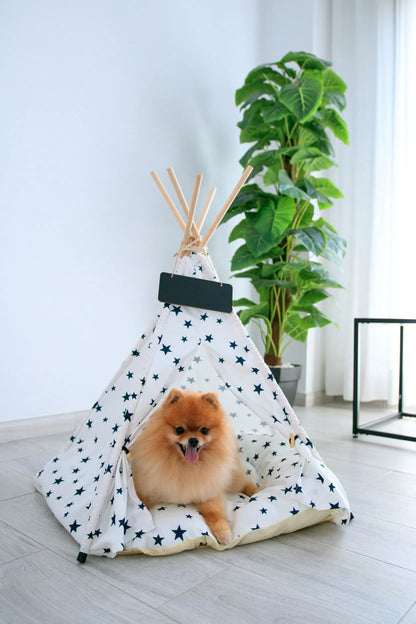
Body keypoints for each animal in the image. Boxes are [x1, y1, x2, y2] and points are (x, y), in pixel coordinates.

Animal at [130, 388, 260, 544]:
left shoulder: (209, 492)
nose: (193, 440)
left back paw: (257, 491)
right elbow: (141, 502)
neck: (185, 466)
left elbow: (214, 514)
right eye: (179, 430)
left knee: (244, 482)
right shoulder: (148, 488)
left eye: (204, 430)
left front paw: (223, 533)